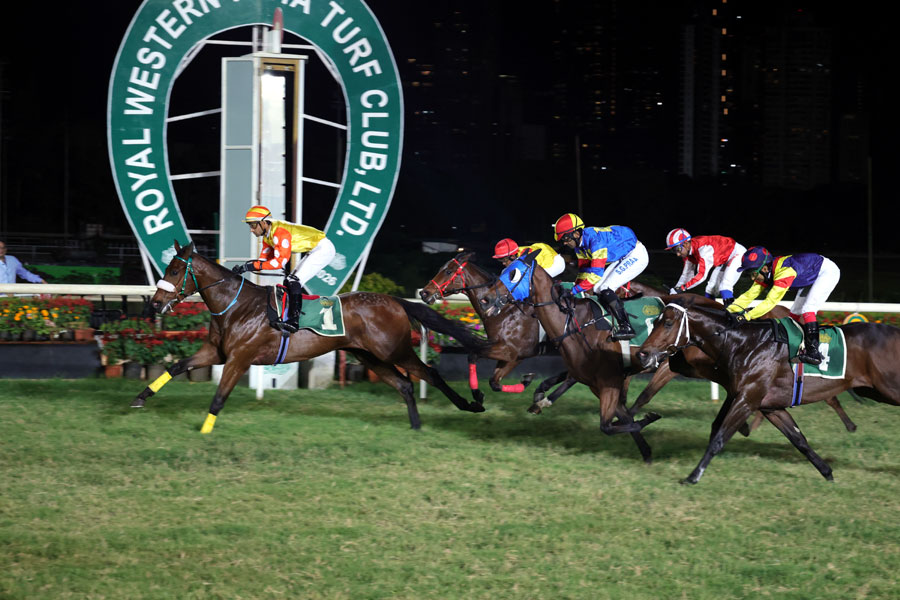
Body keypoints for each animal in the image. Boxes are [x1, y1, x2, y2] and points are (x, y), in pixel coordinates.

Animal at [131, 241, 489, 433]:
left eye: (174, 270)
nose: (156, 303)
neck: (236, 306)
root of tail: (396, 301)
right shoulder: (216, 353)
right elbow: (177, 366)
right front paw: (140, 398)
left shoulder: (239, 359)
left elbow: (220, 396)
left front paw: (206, 429)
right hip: (368, 355)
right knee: (404, 385)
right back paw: (415, 425)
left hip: (394, 350)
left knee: (429, 373)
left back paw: (468, 405)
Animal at [635, 297, 900, 483]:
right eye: (655, 321)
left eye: (668, 323)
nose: (643, 354)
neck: (743, 344)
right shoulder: (770, 405)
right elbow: (799, 440)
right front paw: (827, 472)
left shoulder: (746, 399)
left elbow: (719, 437)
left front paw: (693, 476)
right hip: (872, 390)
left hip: (888, 387)